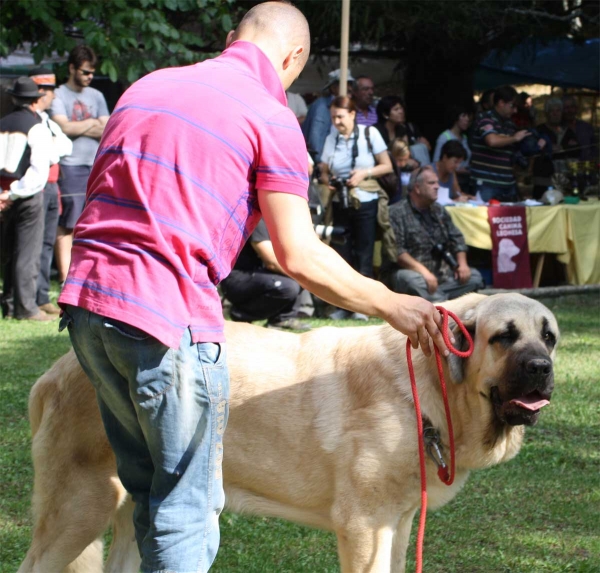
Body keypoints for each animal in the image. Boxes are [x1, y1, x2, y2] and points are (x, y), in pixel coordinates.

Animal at [21, 292, 560, 568]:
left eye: (549, 336)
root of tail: (54, 372)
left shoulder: (399, 523)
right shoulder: (364, 527)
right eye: (504, 337)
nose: (541, 368)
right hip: (78, 510)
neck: (428, 386)